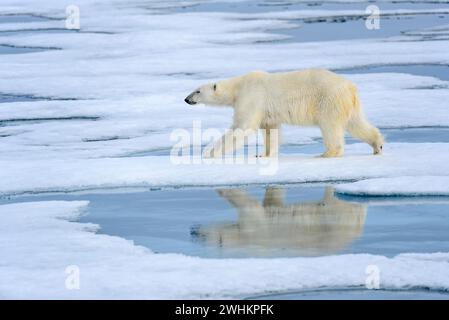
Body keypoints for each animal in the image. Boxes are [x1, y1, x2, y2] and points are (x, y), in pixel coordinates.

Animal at [184, 68, 384, 158]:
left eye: (197, 91)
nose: (186, 99)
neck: (238, 86)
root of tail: (351, 87)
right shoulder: (266, 112)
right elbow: (270, 130)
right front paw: (263, 154)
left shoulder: (251, 97)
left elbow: (243, 127)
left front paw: (210, 152)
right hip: (348, 104)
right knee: (356, 123)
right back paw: (377, 145)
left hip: (328, 100)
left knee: (330, 126)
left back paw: (326, 154)